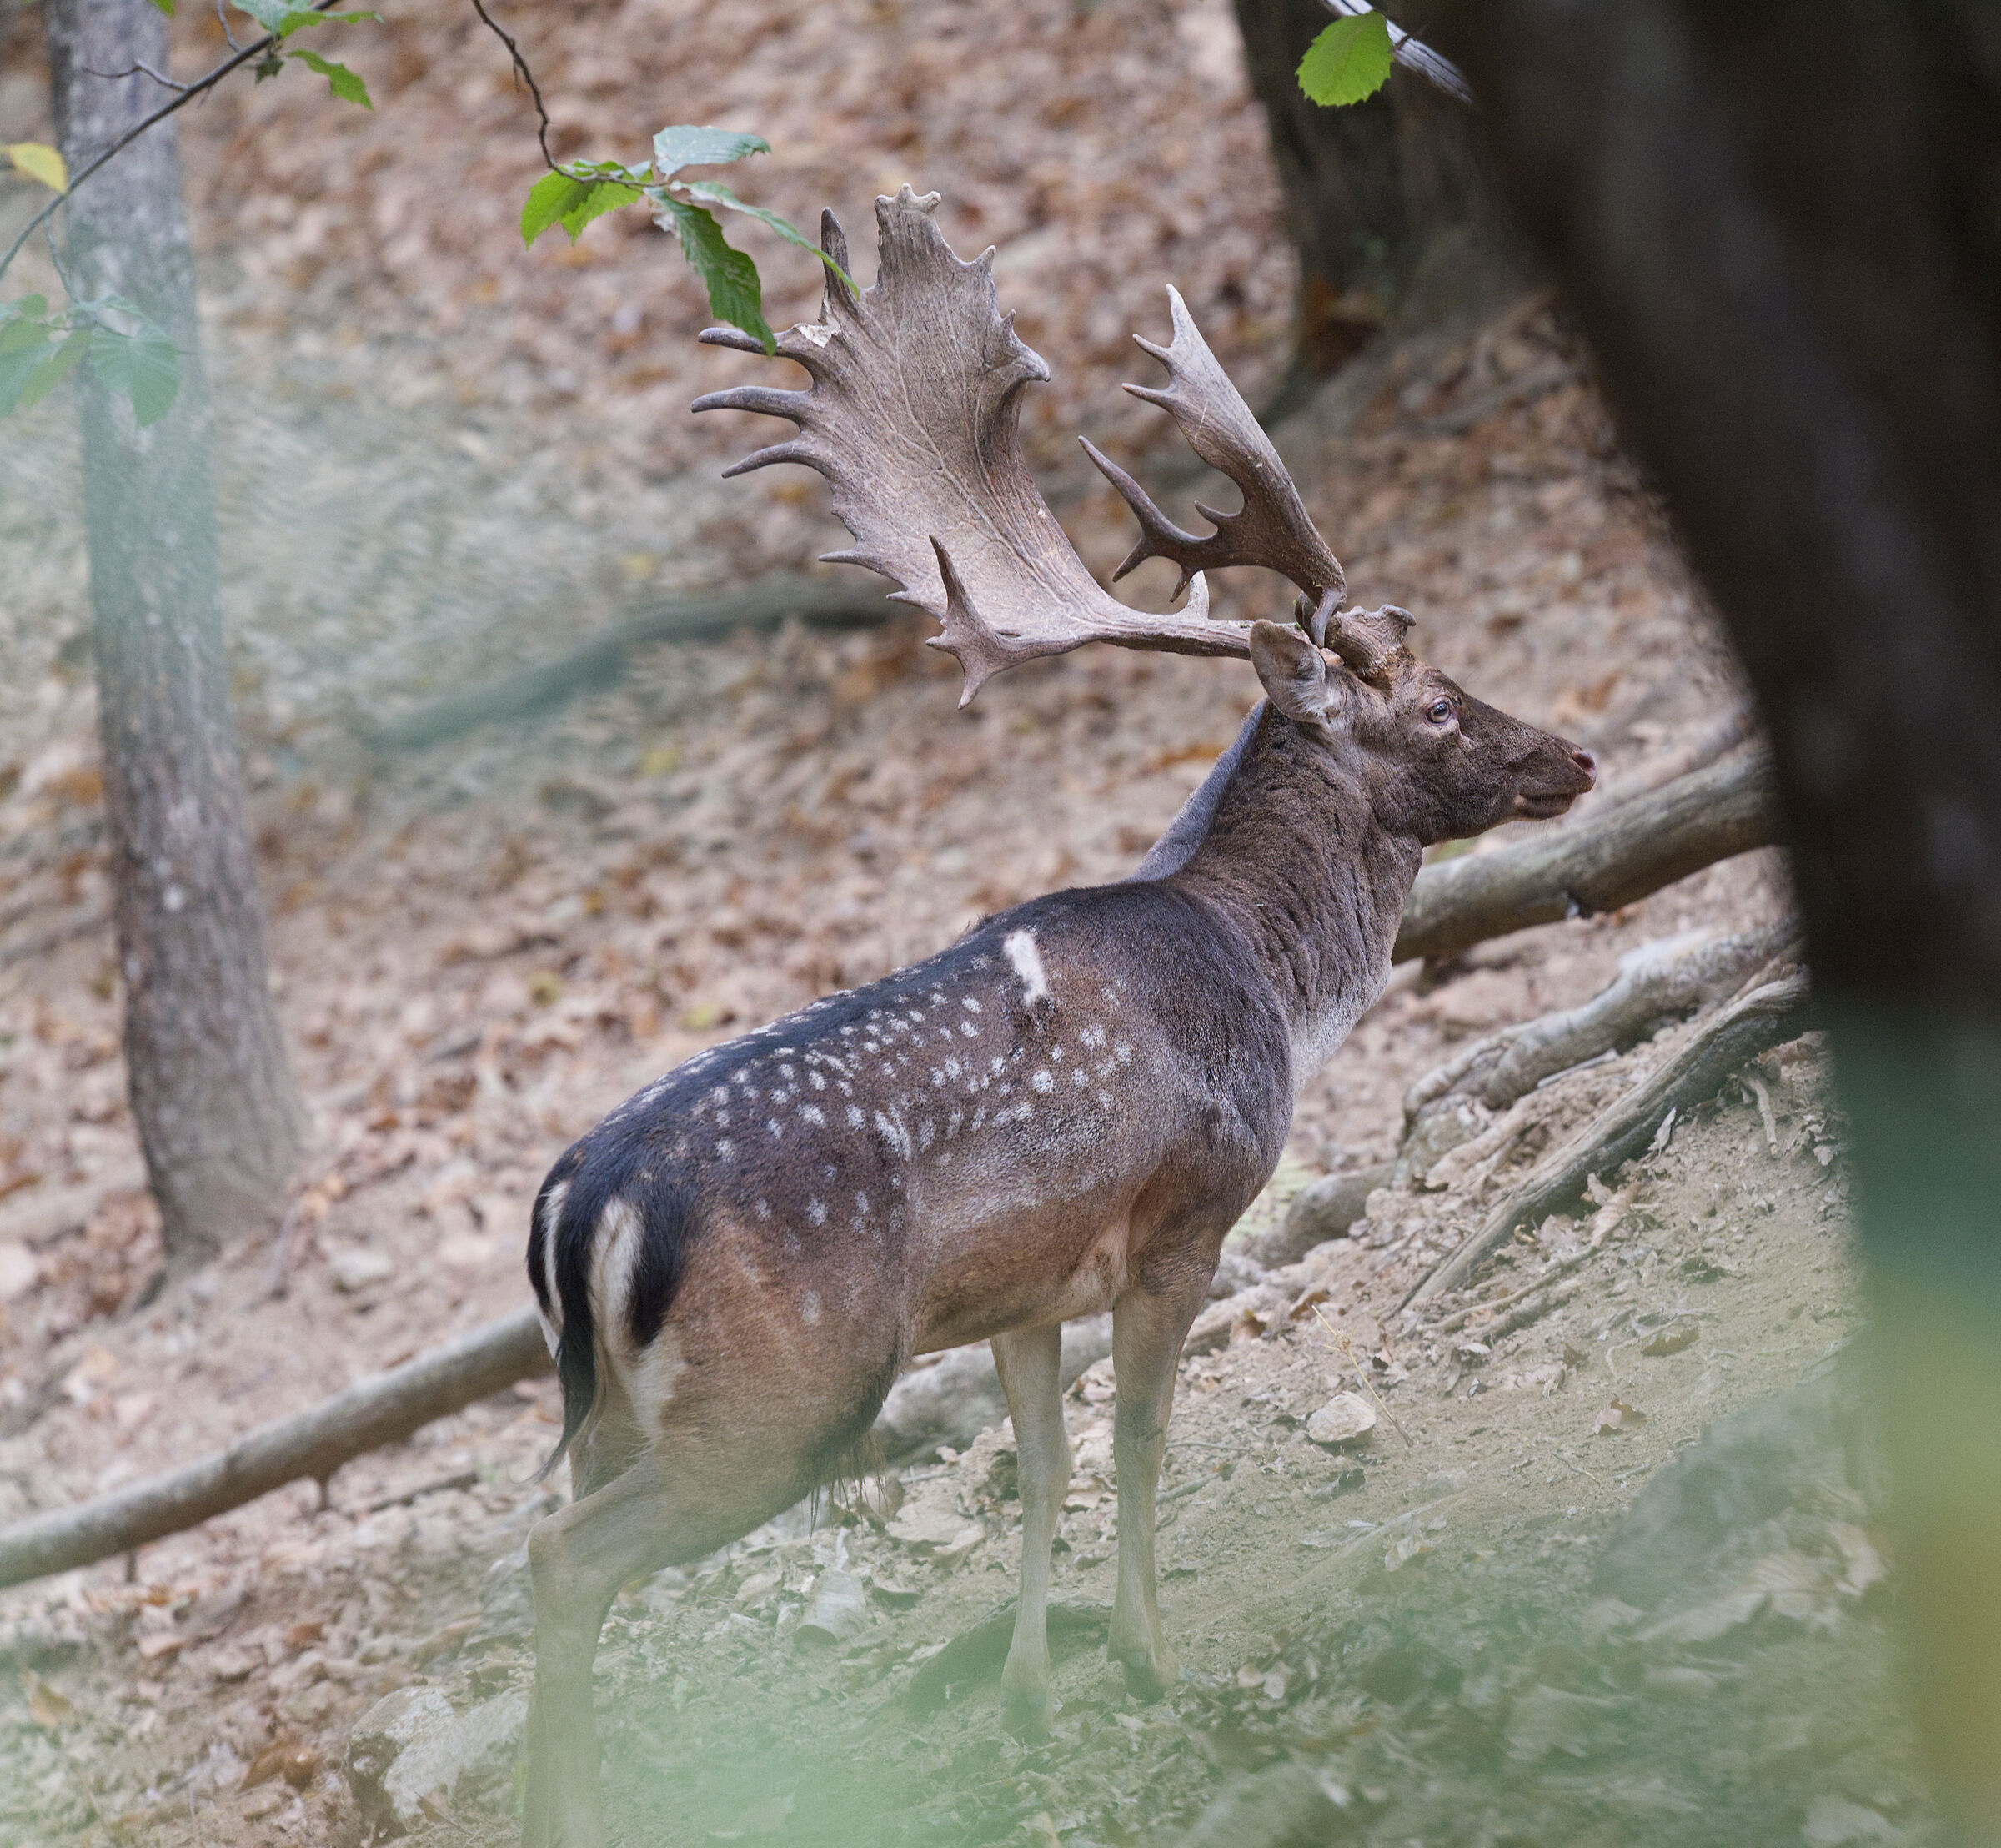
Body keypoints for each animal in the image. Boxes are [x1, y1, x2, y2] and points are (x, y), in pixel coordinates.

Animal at [519, 188, 1595, 1846]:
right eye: (1436, 706)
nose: (1576, 757)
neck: (1270, 979)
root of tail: (584, 1201)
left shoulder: (1022, 1292)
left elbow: (1038, 1464)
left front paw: (1029, 1690)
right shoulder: (1184, 1216)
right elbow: (1144, 1439)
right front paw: (1155, 1663)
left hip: (616, 1416)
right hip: (782, 1396)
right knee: (560, 1568)